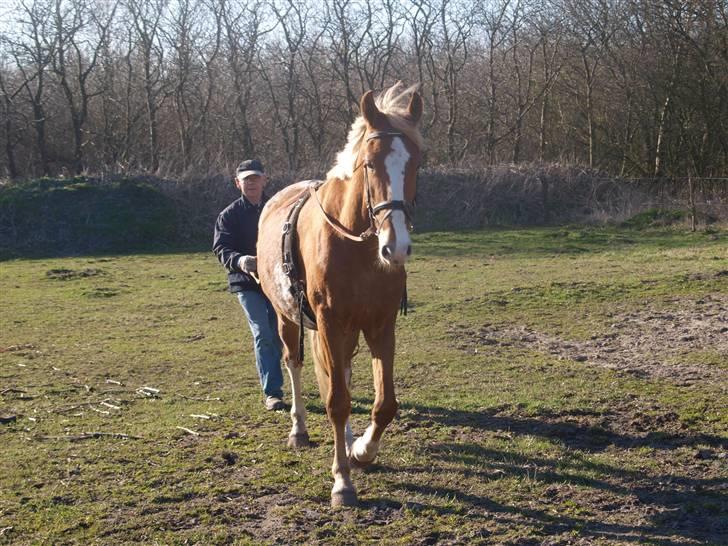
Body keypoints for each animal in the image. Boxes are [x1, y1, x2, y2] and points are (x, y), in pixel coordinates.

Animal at [258, 84, 424, 506]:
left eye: (416, 164)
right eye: (369, 164)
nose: (396, 247)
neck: (357, 247)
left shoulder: (380, 326)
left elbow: (383, 404)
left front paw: (362, 450)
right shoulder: (329, 324)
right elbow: (336, 402)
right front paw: (342, 481)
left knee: (343, 375)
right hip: (289, 320)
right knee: (296, 365)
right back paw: (299, 430)